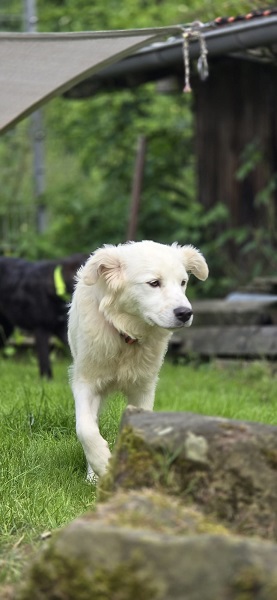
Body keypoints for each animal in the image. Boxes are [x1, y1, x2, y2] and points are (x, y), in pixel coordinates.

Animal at [68, 239, 207, 478]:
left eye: (183, 282)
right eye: (154, 283)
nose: (185, 313)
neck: (126, 336)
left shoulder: (143, 387)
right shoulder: (86, 381)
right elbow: (85, 428)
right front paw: (102, 462)